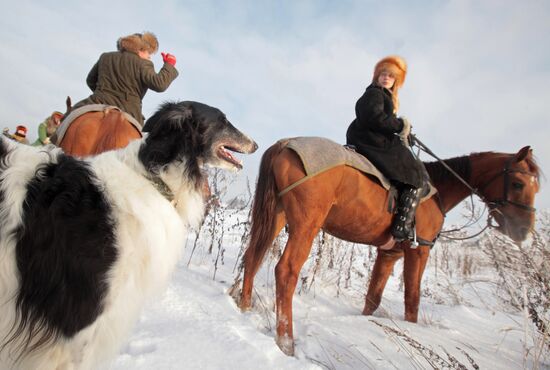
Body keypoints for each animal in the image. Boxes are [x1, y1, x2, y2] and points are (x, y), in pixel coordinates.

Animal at [239, 139, 540, 356]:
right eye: (517, 183)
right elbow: (412, 300)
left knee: (253, 256)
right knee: (286, 271)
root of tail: (285, 144)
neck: (438, 192)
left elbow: (373, 297)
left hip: (275, 217)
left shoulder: (389, 253)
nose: (523, 231)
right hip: (306, 226)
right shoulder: (419, 251)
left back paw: (243, 307)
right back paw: (286, 342)